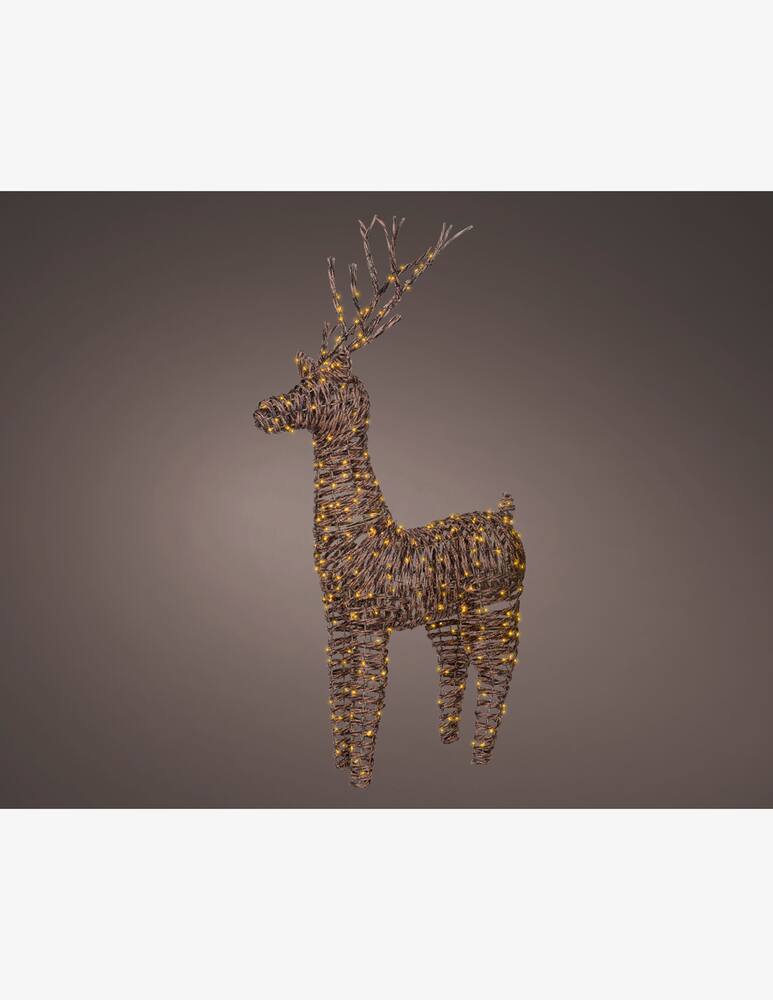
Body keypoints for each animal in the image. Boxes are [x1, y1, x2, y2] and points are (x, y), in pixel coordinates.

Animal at [253, 216, 525, 788]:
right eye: (300, 378)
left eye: (317, 386)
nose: (263, 409)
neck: (360, 529)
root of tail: (506, 514)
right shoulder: (337, 620)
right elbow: (339, 692)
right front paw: (339, 767)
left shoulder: (370, 622)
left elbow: (368, 699)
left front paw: (361, 779)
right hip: (450, 617)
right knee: (455, 665)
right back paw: (446, 744)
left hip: (499, 609)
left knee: (496, 675)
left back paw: (480, 760)